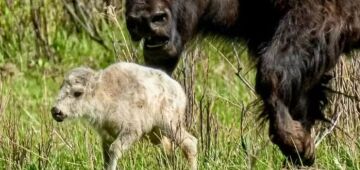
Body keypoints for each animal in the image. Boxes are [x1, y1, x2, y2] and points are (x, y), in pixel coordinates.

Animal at [50, 62, 197, 170]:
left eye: (78, 93)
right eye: (61, 88)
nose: (56, 111)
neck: (104, 94)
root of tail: (179, 91)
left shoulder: (131, 131)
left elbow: (114, 150)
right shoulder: (106, 137)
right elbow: (107, 157)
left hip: (169, 124)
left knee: (190, 143)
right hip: (156, 134)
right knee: (169, 150)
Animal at [124, 0, 360, 166]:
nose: (146, 19)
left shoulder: (315, 19)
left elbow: (270, 74)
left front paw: (298, 145)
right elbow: (300, 104)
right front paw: (302, 149)